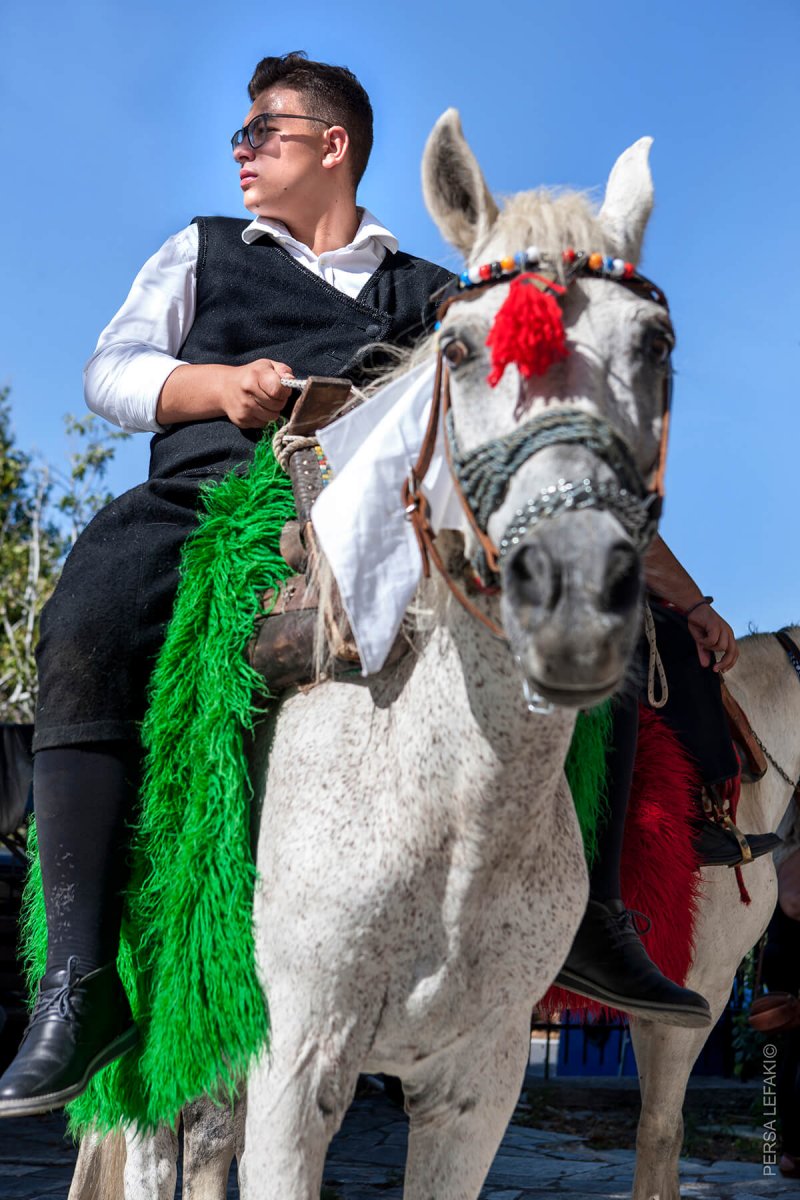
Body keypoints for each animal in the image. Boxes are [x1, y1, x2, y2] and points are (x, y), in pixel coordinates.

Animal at [71, 108, 676, 1195]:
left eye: (652, 343)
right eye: (462, 349)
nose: (572, 592)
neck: (452, 815)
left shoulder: (476, 1087)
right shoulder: (295, 1069)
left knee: (201, 1149)